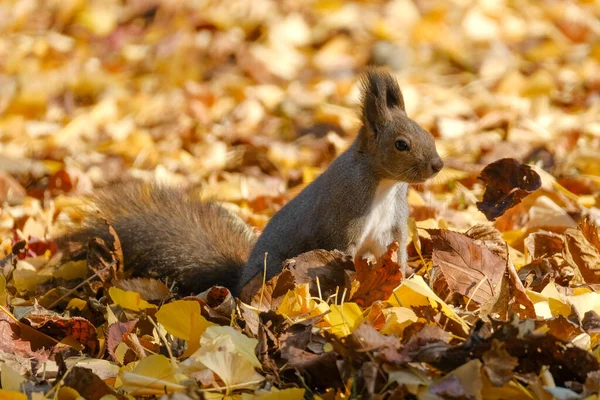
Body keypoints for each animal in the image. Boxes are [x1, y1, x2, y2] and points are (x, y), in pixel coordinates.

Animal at [56, 69, 440, 296]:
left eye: (426, 131)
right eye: (401, 144)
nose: (438, 165)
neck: (383, 185)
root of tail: (238, 285)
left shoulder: (392, 225)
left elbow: (396, 254)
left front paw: (407, 281)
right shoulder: (345, 215)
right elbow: (339, 255)